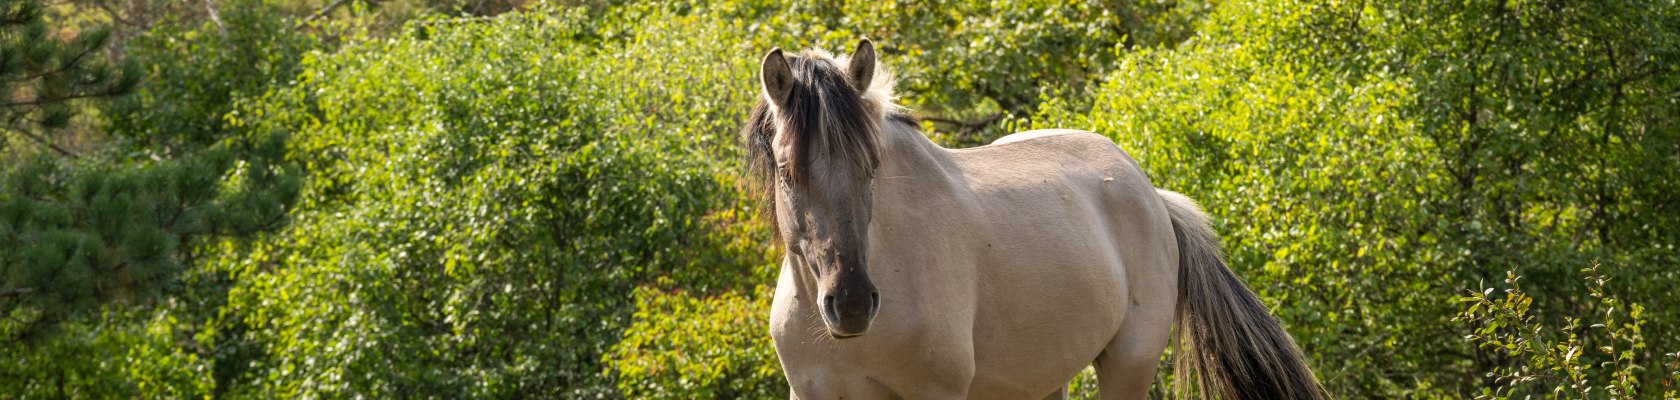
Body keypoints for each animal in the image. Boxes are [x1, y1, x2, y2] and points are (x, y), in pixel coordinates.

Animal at [742, 38, 1327, 400]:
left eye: (872, 167)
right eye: (788, 171)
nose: (853, 305)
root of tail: (1152, 196)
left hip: (1129, 365)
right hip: (1044, 378)